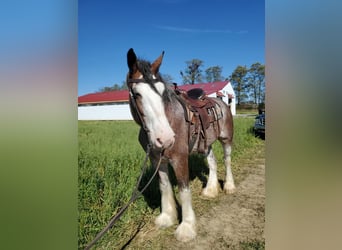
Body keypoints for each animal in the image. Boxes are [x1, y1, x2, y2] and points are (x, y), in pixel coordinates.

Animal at [125, 47, 235, 241]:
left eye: (162, 93)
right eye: (137, 94)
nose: (166, 138)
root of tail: (222, 102)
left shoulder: (179, 158)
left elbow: (184, 190)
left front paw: (187, 227)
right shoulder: (157, 159)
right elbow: (164, 185)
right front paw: (167, 217)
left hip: (226, 139)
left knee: (227, 160)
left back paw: (229, 186)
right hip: (206, 144)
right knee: (213, 162)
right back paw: (210, 190)